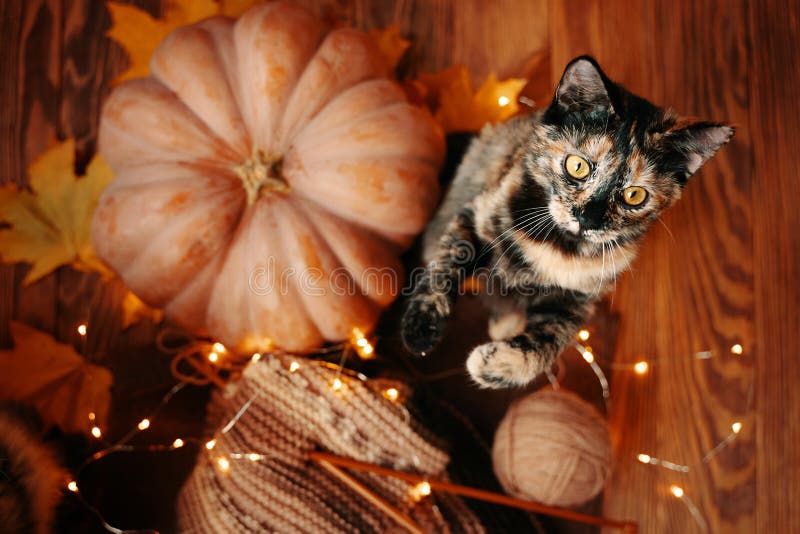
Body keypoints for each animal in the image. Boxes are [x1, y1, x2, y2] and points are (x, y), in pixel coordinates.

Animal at [404, 55, 736, 390]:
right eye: (577, 166)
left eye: (634, 195)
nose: (588, 219)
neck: (560, 244)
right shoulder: (478, 213)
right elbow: (448, 264)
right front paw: (421, 327)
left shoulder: (576, 299)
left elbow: (549, 341)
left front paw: (497, 366)